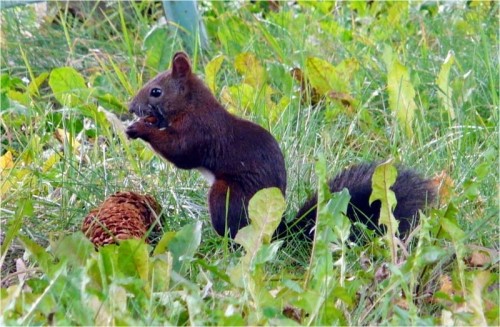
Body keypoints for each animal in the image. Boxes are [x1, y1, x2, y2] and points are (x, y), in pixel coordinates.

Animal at [127, 53, 436, 241]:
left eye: (156, 91)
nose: (131, 107)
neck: (192, 105)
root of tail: (278, 233)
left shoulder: (200, 131)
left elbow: (180, 151)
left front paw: (140, 128)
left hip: (226, 195)